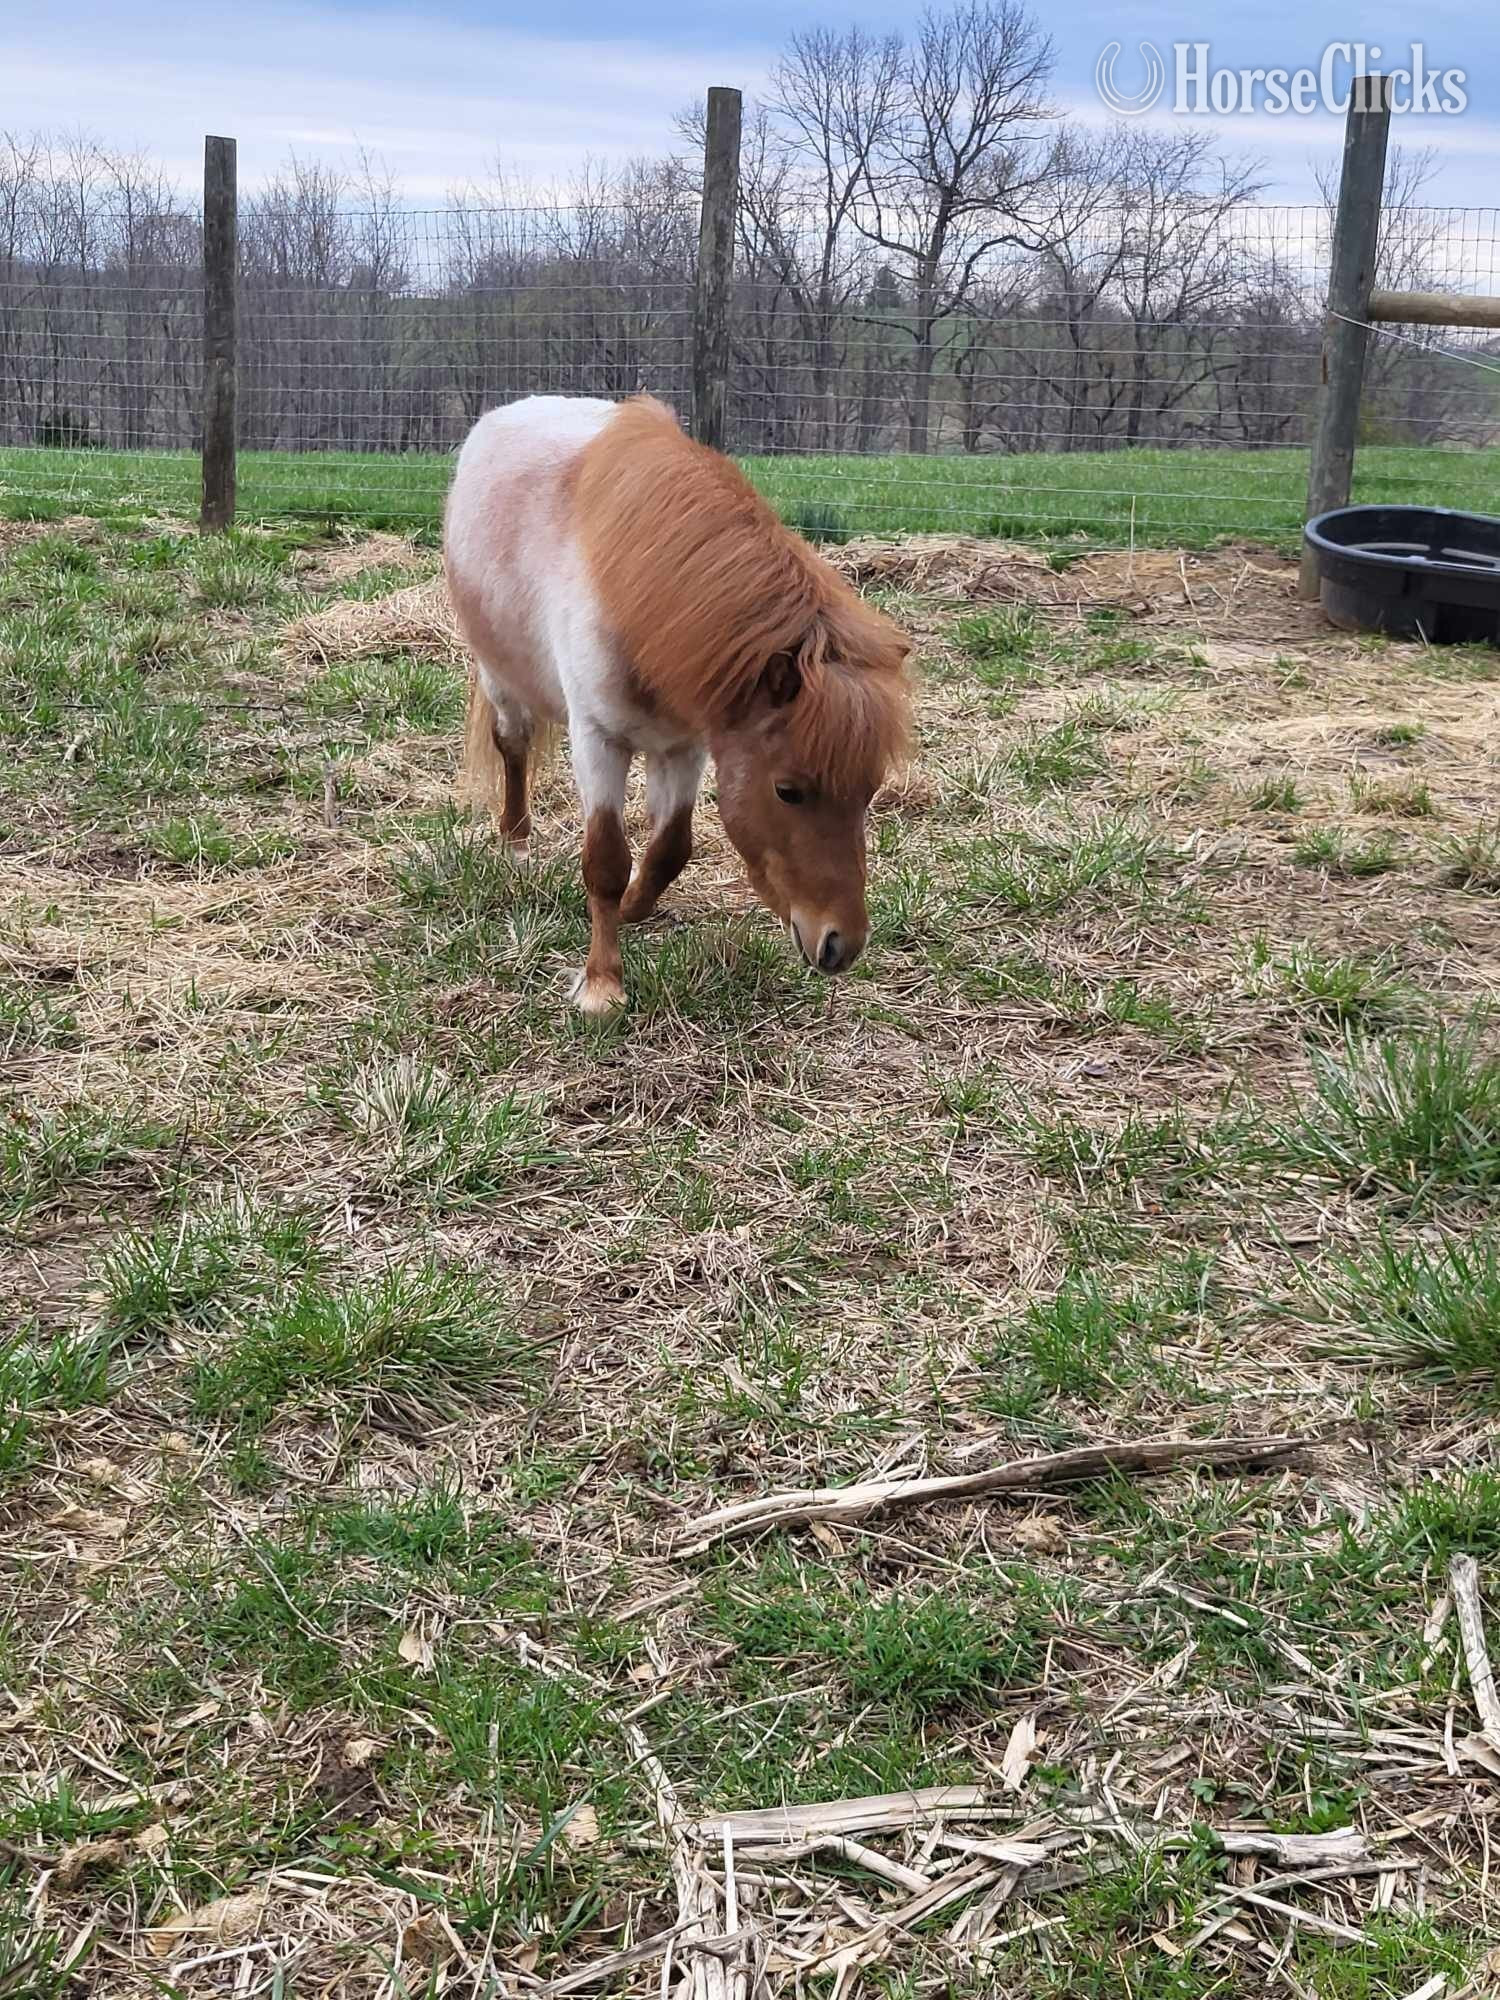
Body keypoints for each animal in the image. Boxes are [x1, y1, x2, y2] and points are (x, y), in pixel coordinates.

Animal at [443, 393, 912, 1014]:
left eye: (870, 791)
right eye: (788, 791)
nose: (841, 944)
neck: (638, 607)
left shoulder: (688, 747)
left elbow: (670, 848)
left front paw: (635, 906)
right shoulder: (598, 742)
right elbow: (605, 860)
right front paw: (602, 987)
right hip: (500, 675)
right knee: (512, 748)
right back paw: (517, 842)